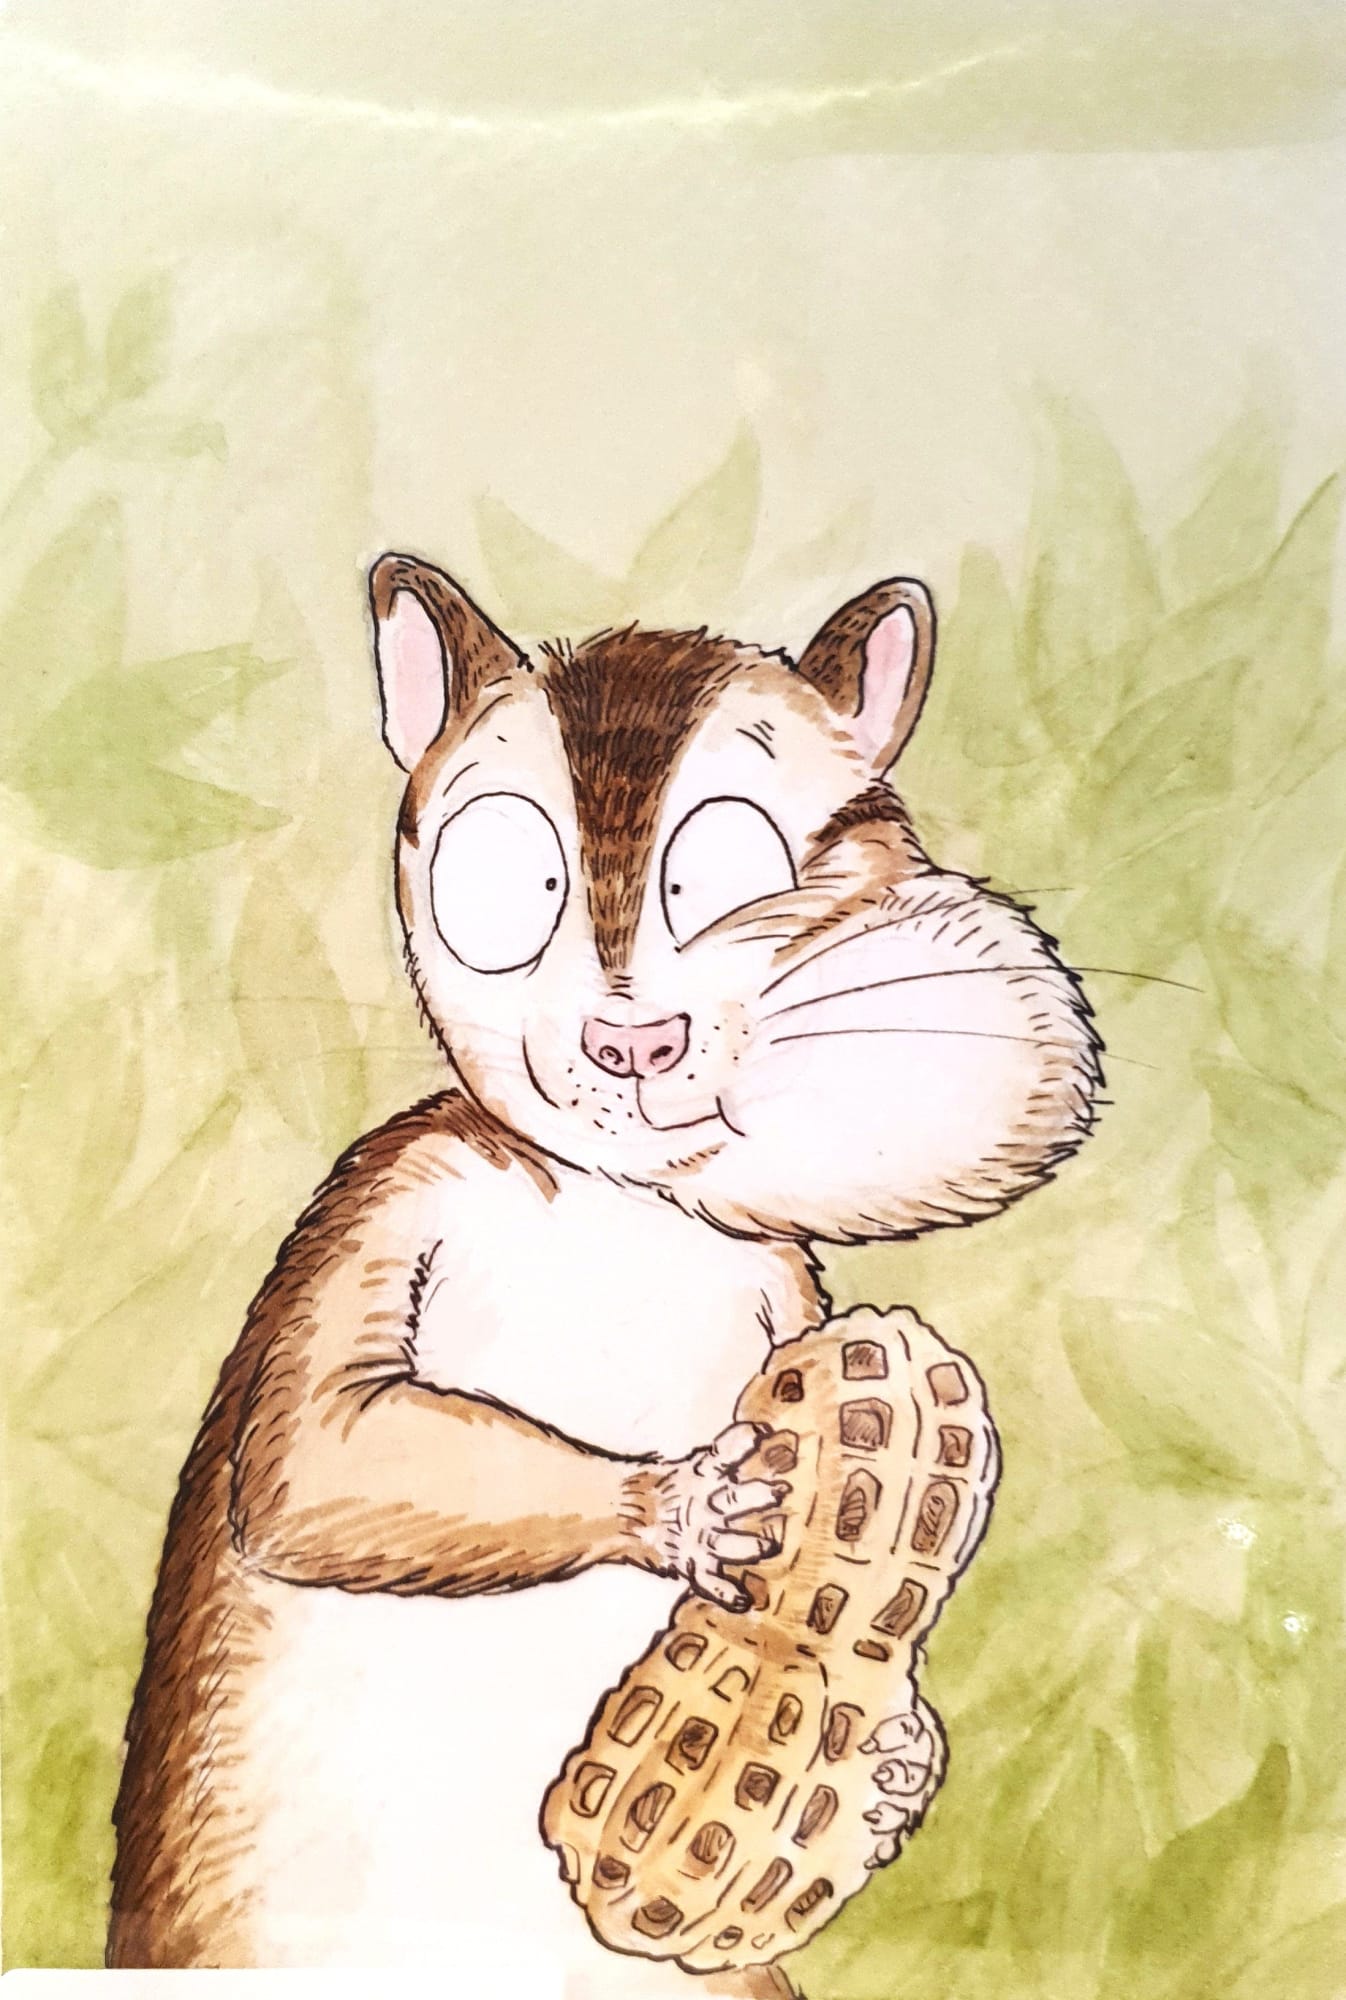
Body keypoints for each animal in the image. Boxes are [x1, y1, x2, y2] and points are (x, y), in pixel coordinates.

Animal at [107, 554, 1101, 1993]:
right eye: (500, 879)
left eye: (737, 875)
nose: (632, 1039)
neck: (618, 1207)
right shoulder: (383, 1197)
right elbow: (313, 1462)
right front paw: (680, 1504)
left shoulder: (786, 1294)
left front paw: (896, 1763)